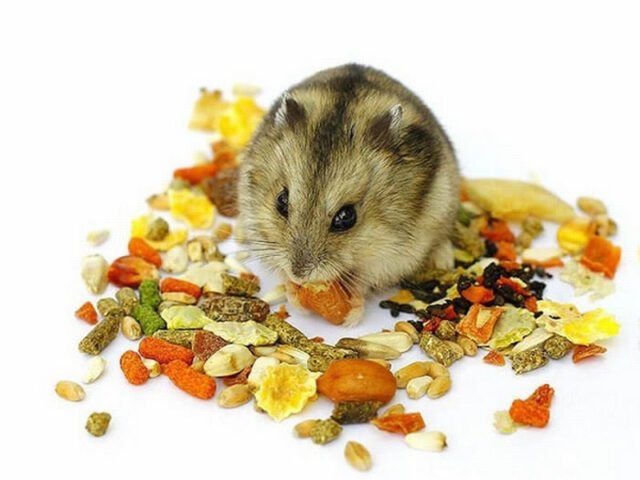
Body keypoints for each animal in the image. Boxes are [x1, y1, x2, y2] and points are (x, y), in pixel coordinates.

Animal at [238, 64, 460, 321]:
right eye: (281, 202)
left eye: (346, 217)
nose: (299, 274)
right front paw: (294, 293)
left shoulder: (392, 257)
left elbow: (362, 279)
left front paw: (351, 314)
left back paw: (443, 261)